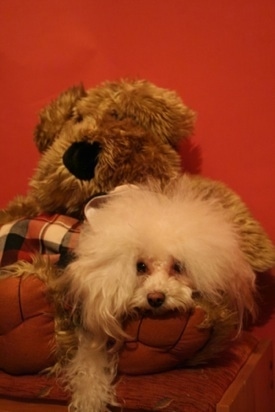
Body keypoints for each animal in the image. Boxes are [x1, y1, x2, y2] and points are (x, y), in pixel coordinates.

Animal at [60, 175, 256, 410]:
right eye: (140, 266)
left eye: (178, 266)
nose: (155, 299)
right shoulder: (92, 332)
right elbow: (89, 365)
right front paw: (90, 400)